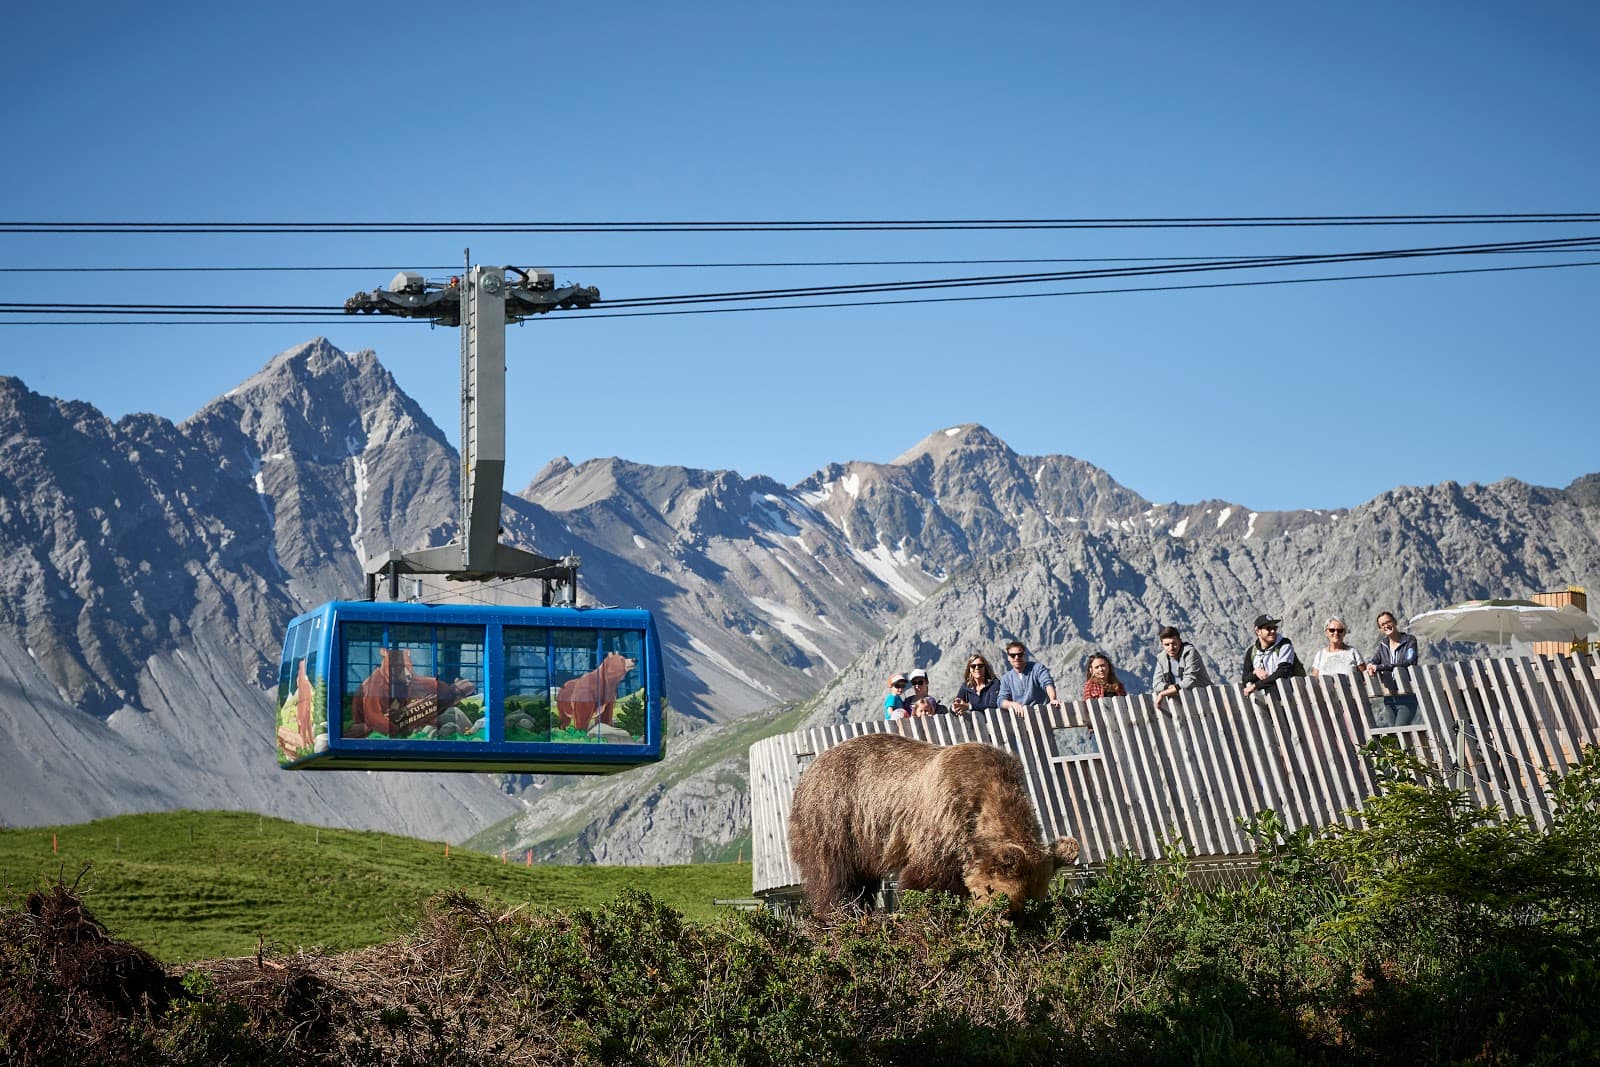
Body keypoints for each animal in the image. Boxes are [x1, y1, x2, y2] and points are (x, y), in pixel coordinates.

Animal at [787, 732, 1080, 917]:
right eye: (1008, 904)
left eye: (1030, 907)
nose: (1008, 923)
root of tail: (811, 767)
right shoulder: (943, 819)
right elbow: (926, 880)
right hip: (836, 815)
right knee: (835, 873)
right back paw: (838, 912)